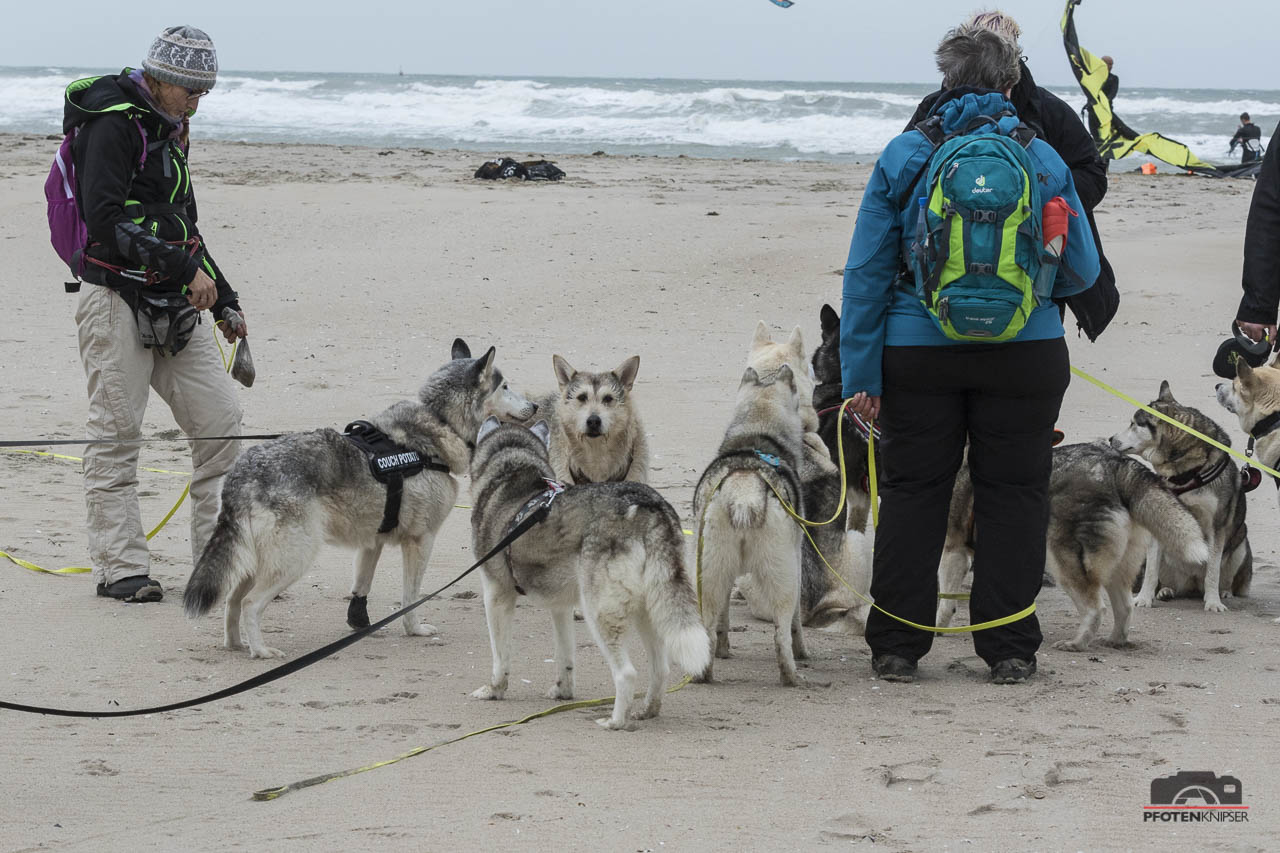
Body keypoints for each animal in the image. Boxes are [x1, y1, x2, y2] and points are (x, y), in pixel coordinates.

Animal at [183, 341, 535, 659]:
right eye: (505, 386)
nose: (534, 408)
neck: (439, 422)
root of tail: (241, 474)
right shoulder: (421, 540)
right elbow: (411, 596)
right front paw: (414, 629)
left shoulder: (372, 541)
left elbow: (361, 586)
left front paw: (359, 623)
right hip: (292, 560)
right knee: (250, 603)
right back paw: (260, 651)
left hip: (254, 561)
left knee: (232, 601)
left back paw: (235, 645)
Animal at [467, 417, 709, 730]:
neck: (512, 469)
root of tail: (649, 505)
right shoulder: (560, 607)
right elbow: (565, 655)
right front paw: (563, 692)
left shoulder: (497, 596)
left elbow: (500, 656)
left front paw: (494, 690)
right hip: (649, 608)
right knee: (660, 668)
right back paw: (647, 710)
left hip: (600, 612)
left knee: (626, 673)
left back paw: (616, 721)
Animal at [693, 363, 808, 685]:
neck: (756, 435)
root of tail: (744, 493)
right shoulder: (797, 561)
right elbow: (796, 625)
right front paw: (803, 652)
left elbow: (723, 622)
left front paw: (723, 650)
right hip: (783, 579)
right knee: (781, 636)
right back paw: (791, 677)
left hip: (710, 576)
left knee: (708, 629)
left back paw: (704, 673)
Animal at [937, 443, 1210, 650]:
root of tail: (1116, 465)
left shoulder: (953, 550)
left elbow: (945, 600)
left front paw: (937, 627)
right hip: (1117, 566)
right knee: (1124, 608)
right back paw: (1114, 641)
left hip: (1062, 561)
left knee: (1095, 609)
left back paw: (1076, 644)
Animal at [1110, 381, 1252, 612]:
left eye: (1134, 424)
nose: (1110, 438)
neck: (1185, 474)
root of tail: (1192, 583)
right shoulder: (1159, 515)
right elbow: (1151, 571)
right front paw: (1144, 598)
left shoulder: (1216, 527)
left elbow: (1213, 571)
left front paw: (1213, 602)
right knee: (1166, 579)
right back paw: (1165, 591)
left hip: (1240, 546)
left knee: (1223, 578)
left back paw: (1223, 592)